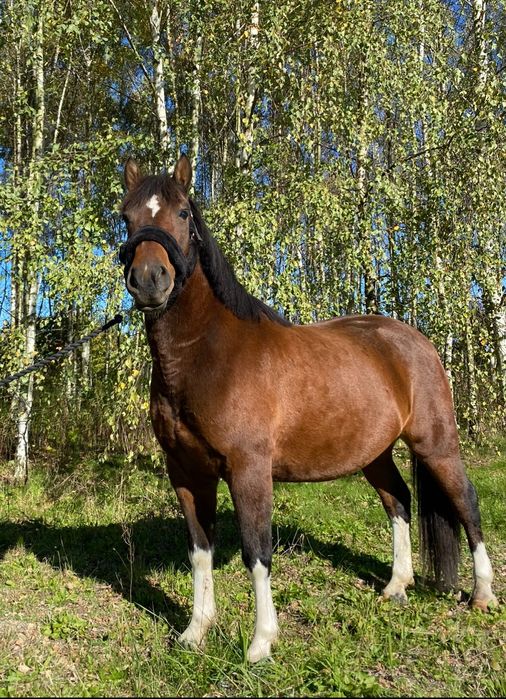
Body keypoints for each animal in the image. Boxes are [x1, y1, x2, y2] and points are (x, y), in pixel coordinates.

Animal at [119, 154, 497, 663]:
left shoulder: (249, 470)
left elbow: (257, 552)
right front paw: (196, 631)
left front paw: (261, 643)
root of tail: (415, 340)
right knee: (398, 499)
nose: (149, 280)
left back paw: (482, 594)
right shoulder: (185, 471)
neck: (209, 357)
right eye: (126, 217)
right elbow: (200, 551)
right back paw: (397, 586)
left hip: (436, 444)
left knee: (467, 504)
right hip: (374, 452)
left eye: (182, 213)